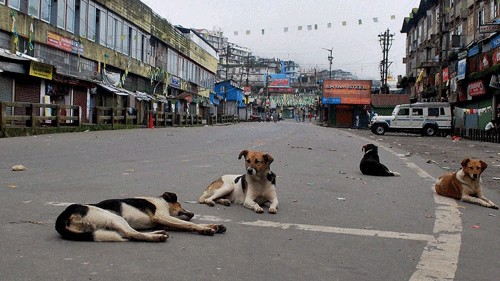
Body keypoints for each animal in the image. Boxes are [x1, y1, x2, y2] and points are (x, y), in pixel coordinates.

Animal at [55, 191, 226, 242]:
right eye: (180, 205)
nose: (193, 213)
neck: (159, 200)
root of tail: (64, 215)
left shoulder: (164, 222)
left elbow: (184, 225)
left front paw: (214, 226)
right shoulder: (161, 217)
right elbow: (188, 224)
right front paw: (205, 229)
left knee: (130, 234)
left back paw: (158, 233)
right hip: (114, 218)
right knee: (131, 234)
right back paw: (156, 237)